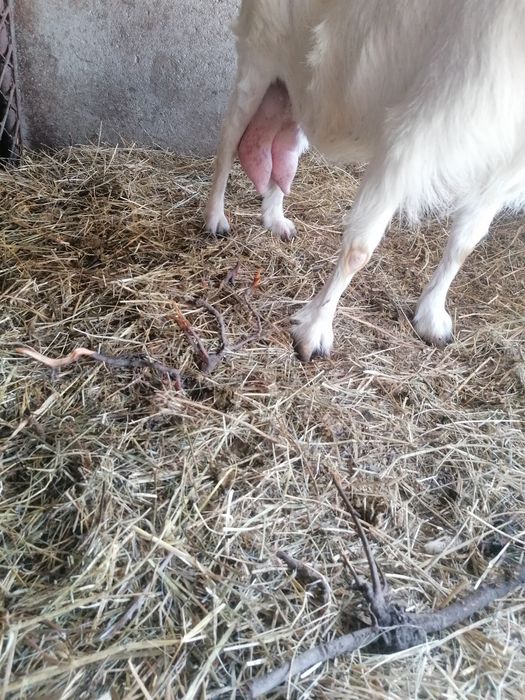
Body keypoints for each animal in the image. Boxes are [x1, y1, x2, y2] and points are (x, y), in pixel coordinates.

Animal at [205, 0, 525, 361]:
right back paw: (215, 218)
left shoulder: (501, 165)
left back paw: (274, 218)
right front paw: (314, 330)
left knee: (285, 145)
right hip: (257, 61)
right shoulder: (410, 141)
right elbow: (359, 249)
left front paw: (431, 317)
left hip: (301, 86)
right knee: (229, 139)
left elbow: (464, 245)